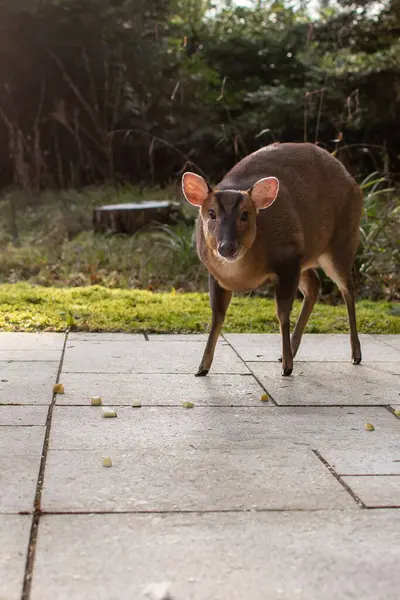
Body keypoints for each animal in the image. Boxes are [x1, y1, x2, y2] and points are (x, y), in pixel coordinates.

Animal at [181, 142, 362, 376]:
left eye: (245, 215)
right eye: (211, 213)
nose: (227, 247)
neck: (242, 275)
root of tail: (352, 180)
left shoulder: (288, 258)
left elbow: (282, 312)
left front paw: (287, 368)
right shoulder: (215, 275)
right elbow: (217, 315)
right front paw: (202, 367)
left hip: (343, 241)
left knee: (347, 289)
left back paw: (355, 354)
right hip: (308, 258)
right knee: (315, 285)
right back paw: (292, 350)